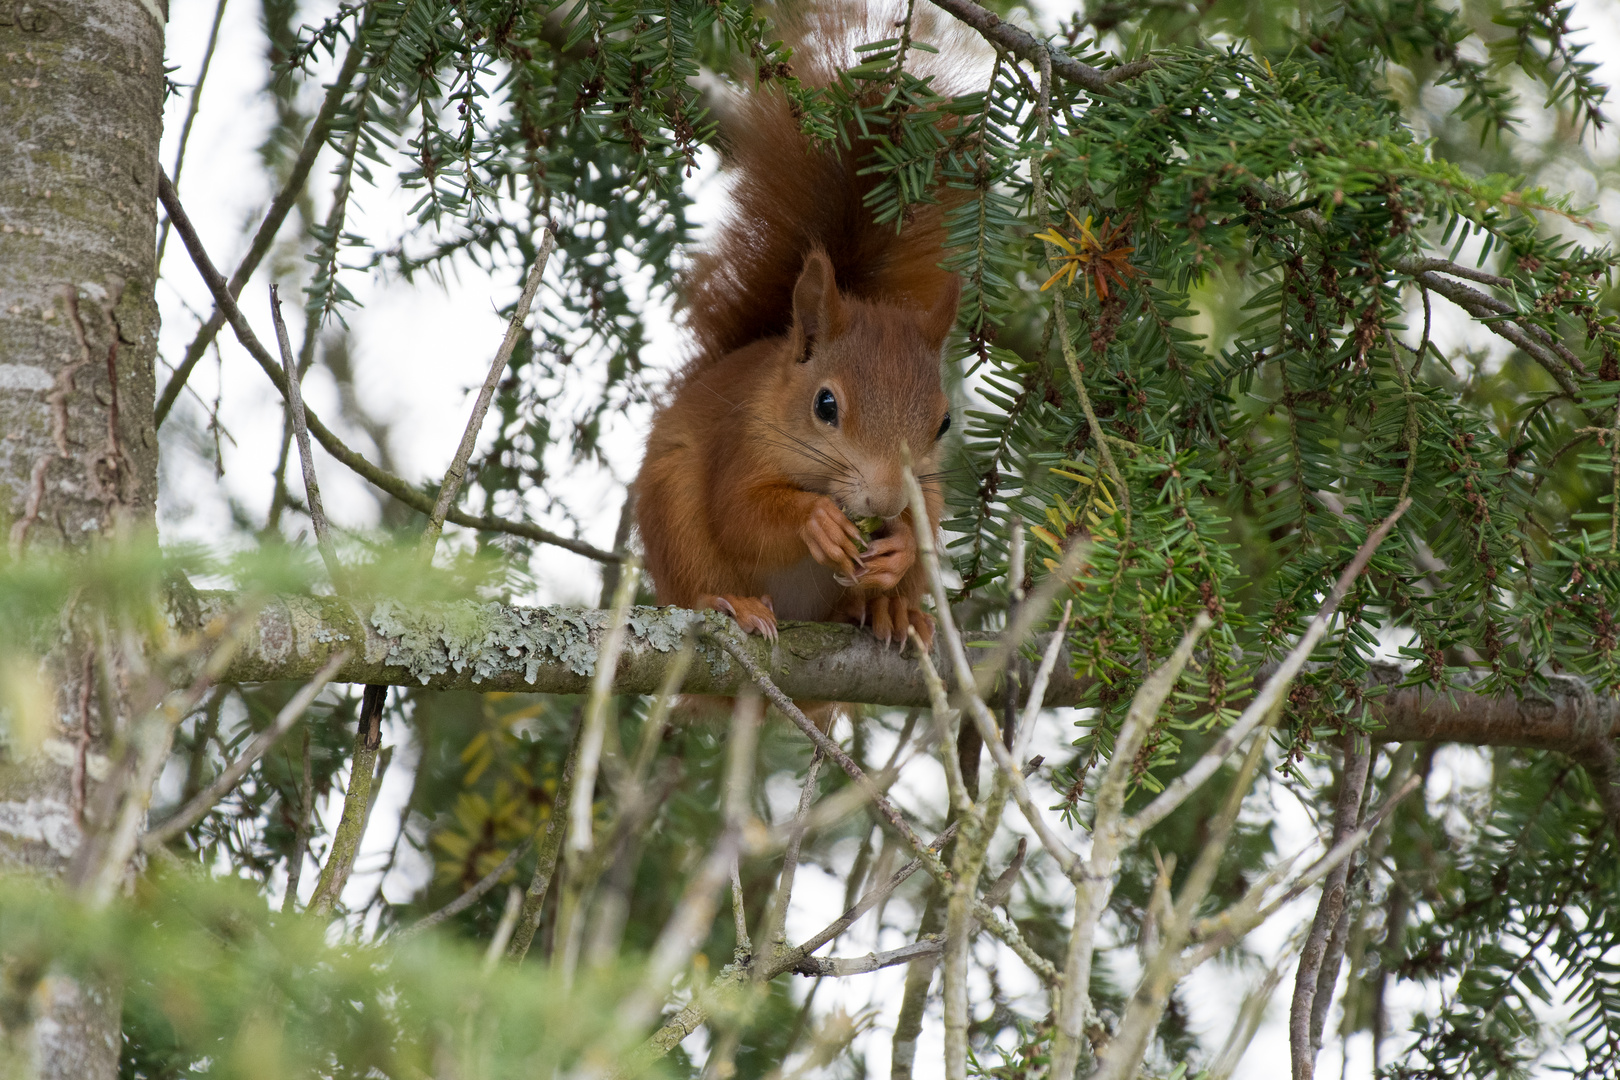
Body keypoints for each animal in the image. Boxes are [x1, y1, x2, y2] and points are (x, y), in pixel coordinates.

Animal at [631, 10, 965, 650]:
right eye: (825, 405)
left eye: (944, 423)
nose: (885, 499)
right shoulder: (740, 444)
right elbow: (740, 515)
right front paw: (818, 523)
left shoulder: (929, 483)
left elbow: (928, 517)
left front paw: (901, 544)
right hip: (673, 513)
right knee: (694, 584)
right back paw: (733, 604)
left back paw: (891, 611)